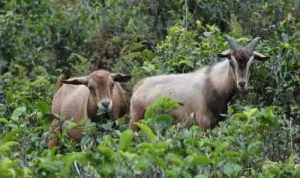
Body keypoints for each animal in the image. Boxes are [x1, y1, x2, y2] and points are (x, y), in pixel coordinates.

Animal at [130, 35, 268, 129]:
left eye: (252, 62)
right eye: (230, 60)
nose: (242, 84)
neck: (212, 82)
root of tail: (138, 87)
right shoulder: (203, 123)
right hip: (136, 122)